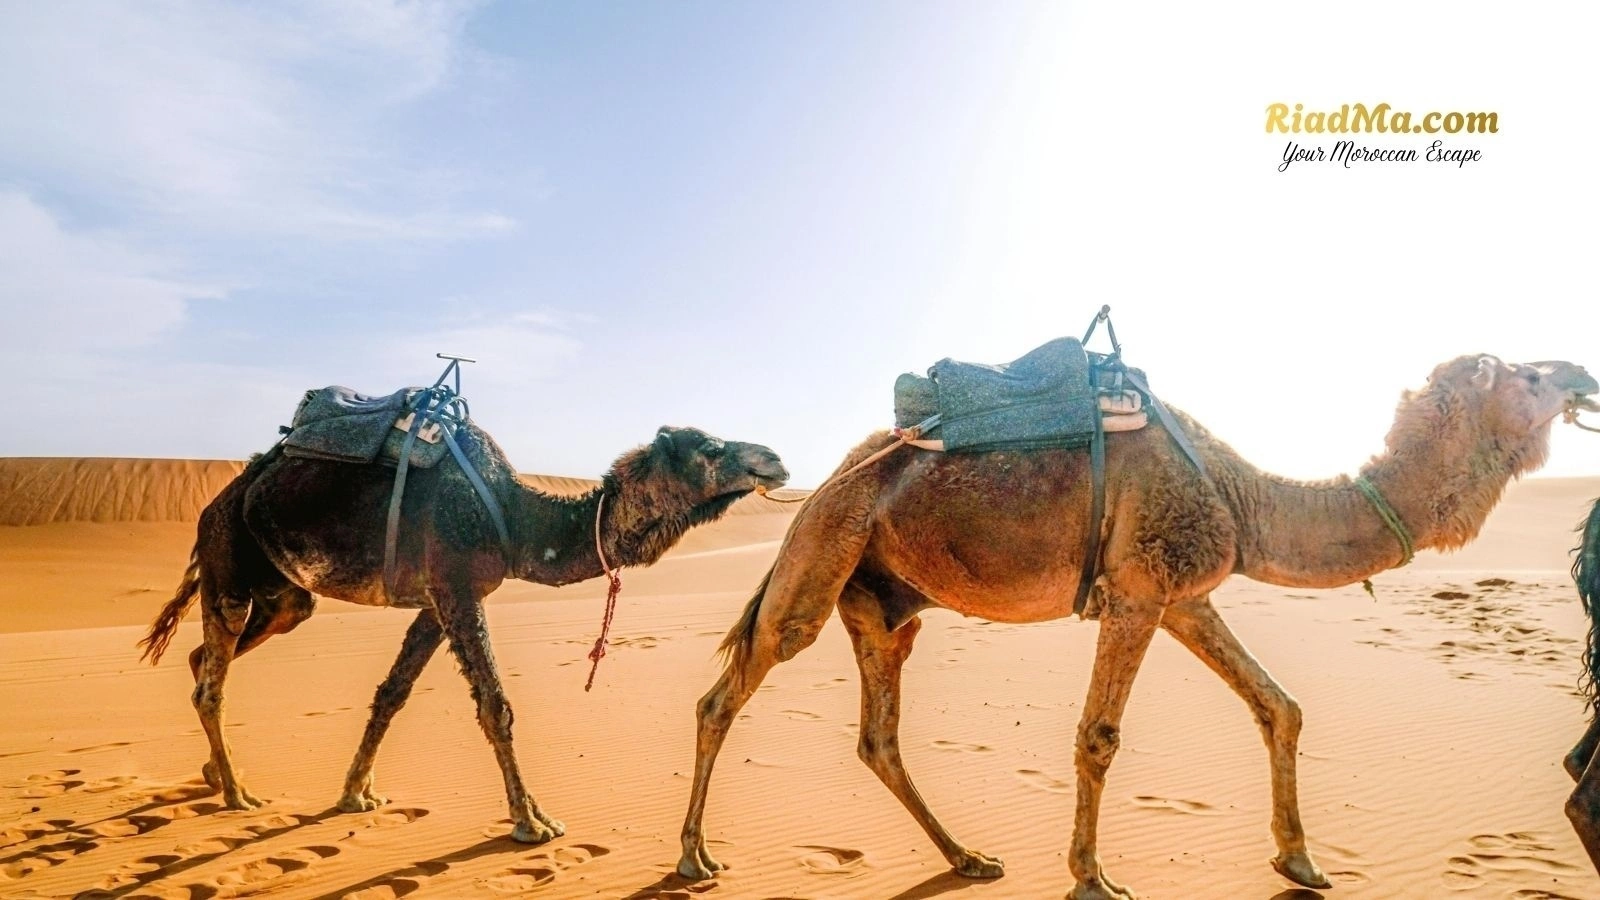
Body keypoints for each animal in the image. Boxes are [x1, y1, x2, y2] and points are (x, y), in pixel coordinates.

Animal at [139, 424, 787, 844]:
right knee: (212, 677)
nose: (775, 459)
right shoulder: (456, 587)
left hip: (284, 594)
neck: (519, 520)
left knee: (208, 654)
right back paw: (237, 794)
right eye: (711, 447)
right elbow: (495, 706)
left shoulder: (436, 601)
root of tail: (218, 502)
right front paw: (531, 821)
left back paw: (216, 774)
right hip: (228, 557)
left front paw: (356, 792)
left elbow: (392, 693)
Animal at [676, 354, 1597, 899]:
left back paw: (969, 858)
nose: (1580, 370)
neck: (1244, 498)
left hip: (883, 603)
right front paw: (1091, 877)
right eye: (1524, 376)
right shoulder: (1135, 593)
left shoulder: (1184, 596)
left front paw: (1301, 860)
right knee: (726, 695)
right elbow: (1098, 736)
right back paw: (693, 858)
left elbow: (1279, 705)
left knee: (879, 737)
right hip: (822, 556)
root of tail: (832, 477)